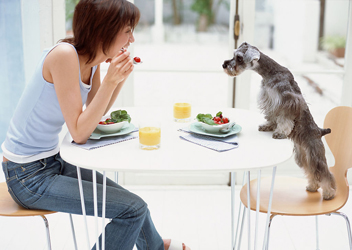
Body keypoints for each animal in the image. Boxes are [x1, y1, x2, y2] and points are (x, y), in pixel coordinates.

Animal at [223, 42, 336, 200]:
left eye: (239, 58)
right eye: (234, 55)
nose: (224, 65)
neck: (269, 72)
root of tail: (320, 131)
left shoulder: (288, 102)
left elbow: (284, 120)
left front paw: (280, 133)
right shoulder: (269, 100)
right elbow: (272, 116)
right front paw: (267, 126)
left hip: (315, 155)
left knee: (324, 172)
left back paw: (329, 193)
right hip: (303, 155)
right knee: (311, 171)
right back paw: (312, 186)